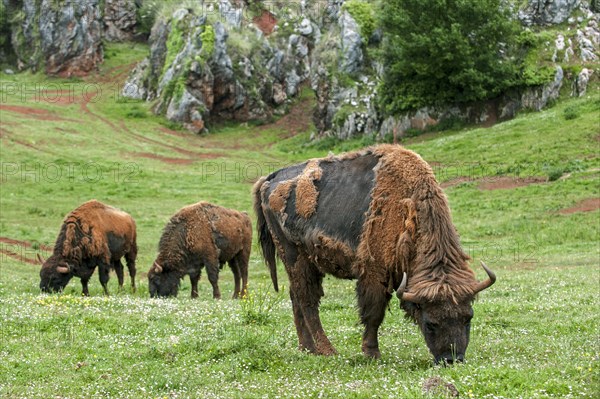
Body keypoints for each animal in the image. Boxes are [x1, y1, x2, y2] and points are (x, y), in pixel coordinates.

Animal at [253, 145, 496, 364]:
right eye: (430, 323)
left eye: (468, 318)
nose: (452, 360)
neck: (407, 204)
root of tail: (269, 179)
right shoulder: (374, 273)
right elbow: (374, 314)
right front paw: (372, 353)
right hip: (294, 255)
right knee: (307, 300)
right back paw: (327, 350)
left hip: (304, 263)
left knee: (296, 296)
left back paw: (307, 348)